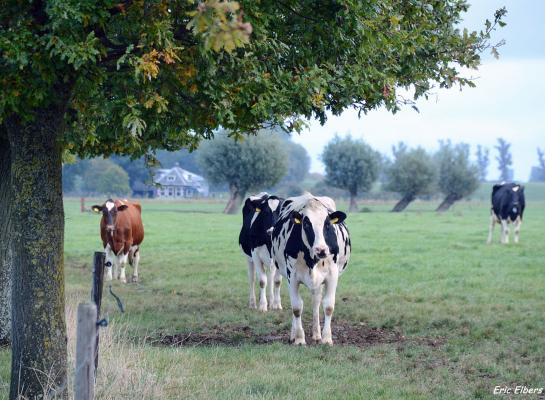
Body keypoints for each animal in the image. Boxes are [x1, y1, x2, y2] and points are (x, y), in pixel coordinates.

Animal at [270, 193, 350, 344]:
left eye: (327, 224)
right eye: (306, 223)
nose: (321, 250)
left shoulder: (332, 275)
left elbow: (328, 306)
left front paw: (326, 338)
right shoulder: (292, 276)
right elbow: (296, 307)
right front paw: (299, 339)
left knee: (316, 301)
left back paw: (317, 334)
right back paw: (294, 334)